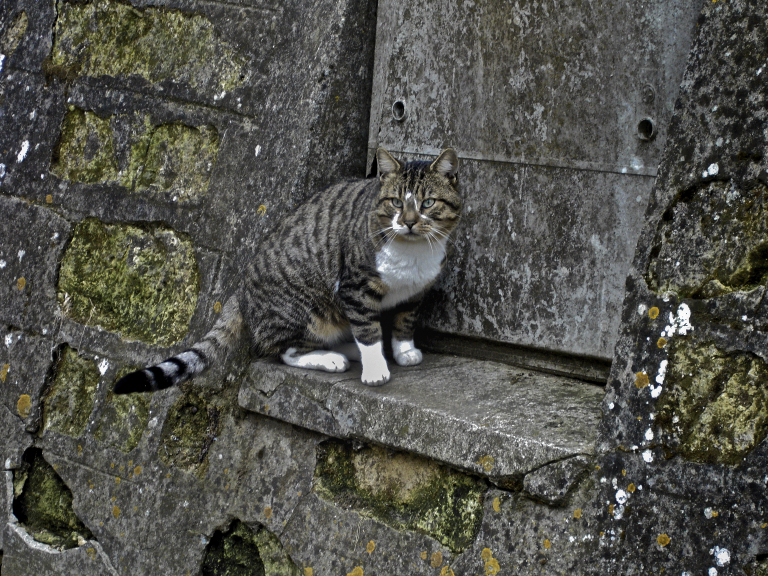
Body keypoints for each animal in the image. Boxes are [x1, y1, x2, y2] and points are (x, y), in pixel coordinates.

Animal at [112, 146, 462, 394]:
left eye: (427, 203)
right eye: (395, 203)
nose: (409, 222)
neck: (413, 254)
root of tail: (241, 286)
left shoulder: (416, 292)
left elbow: (404, 322)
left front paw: (405, 351)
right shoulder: (354, 287)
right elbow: (367, 330)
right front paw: (376, 369)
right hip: (306, 309)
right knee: (287, 351)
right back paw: (332, 357)